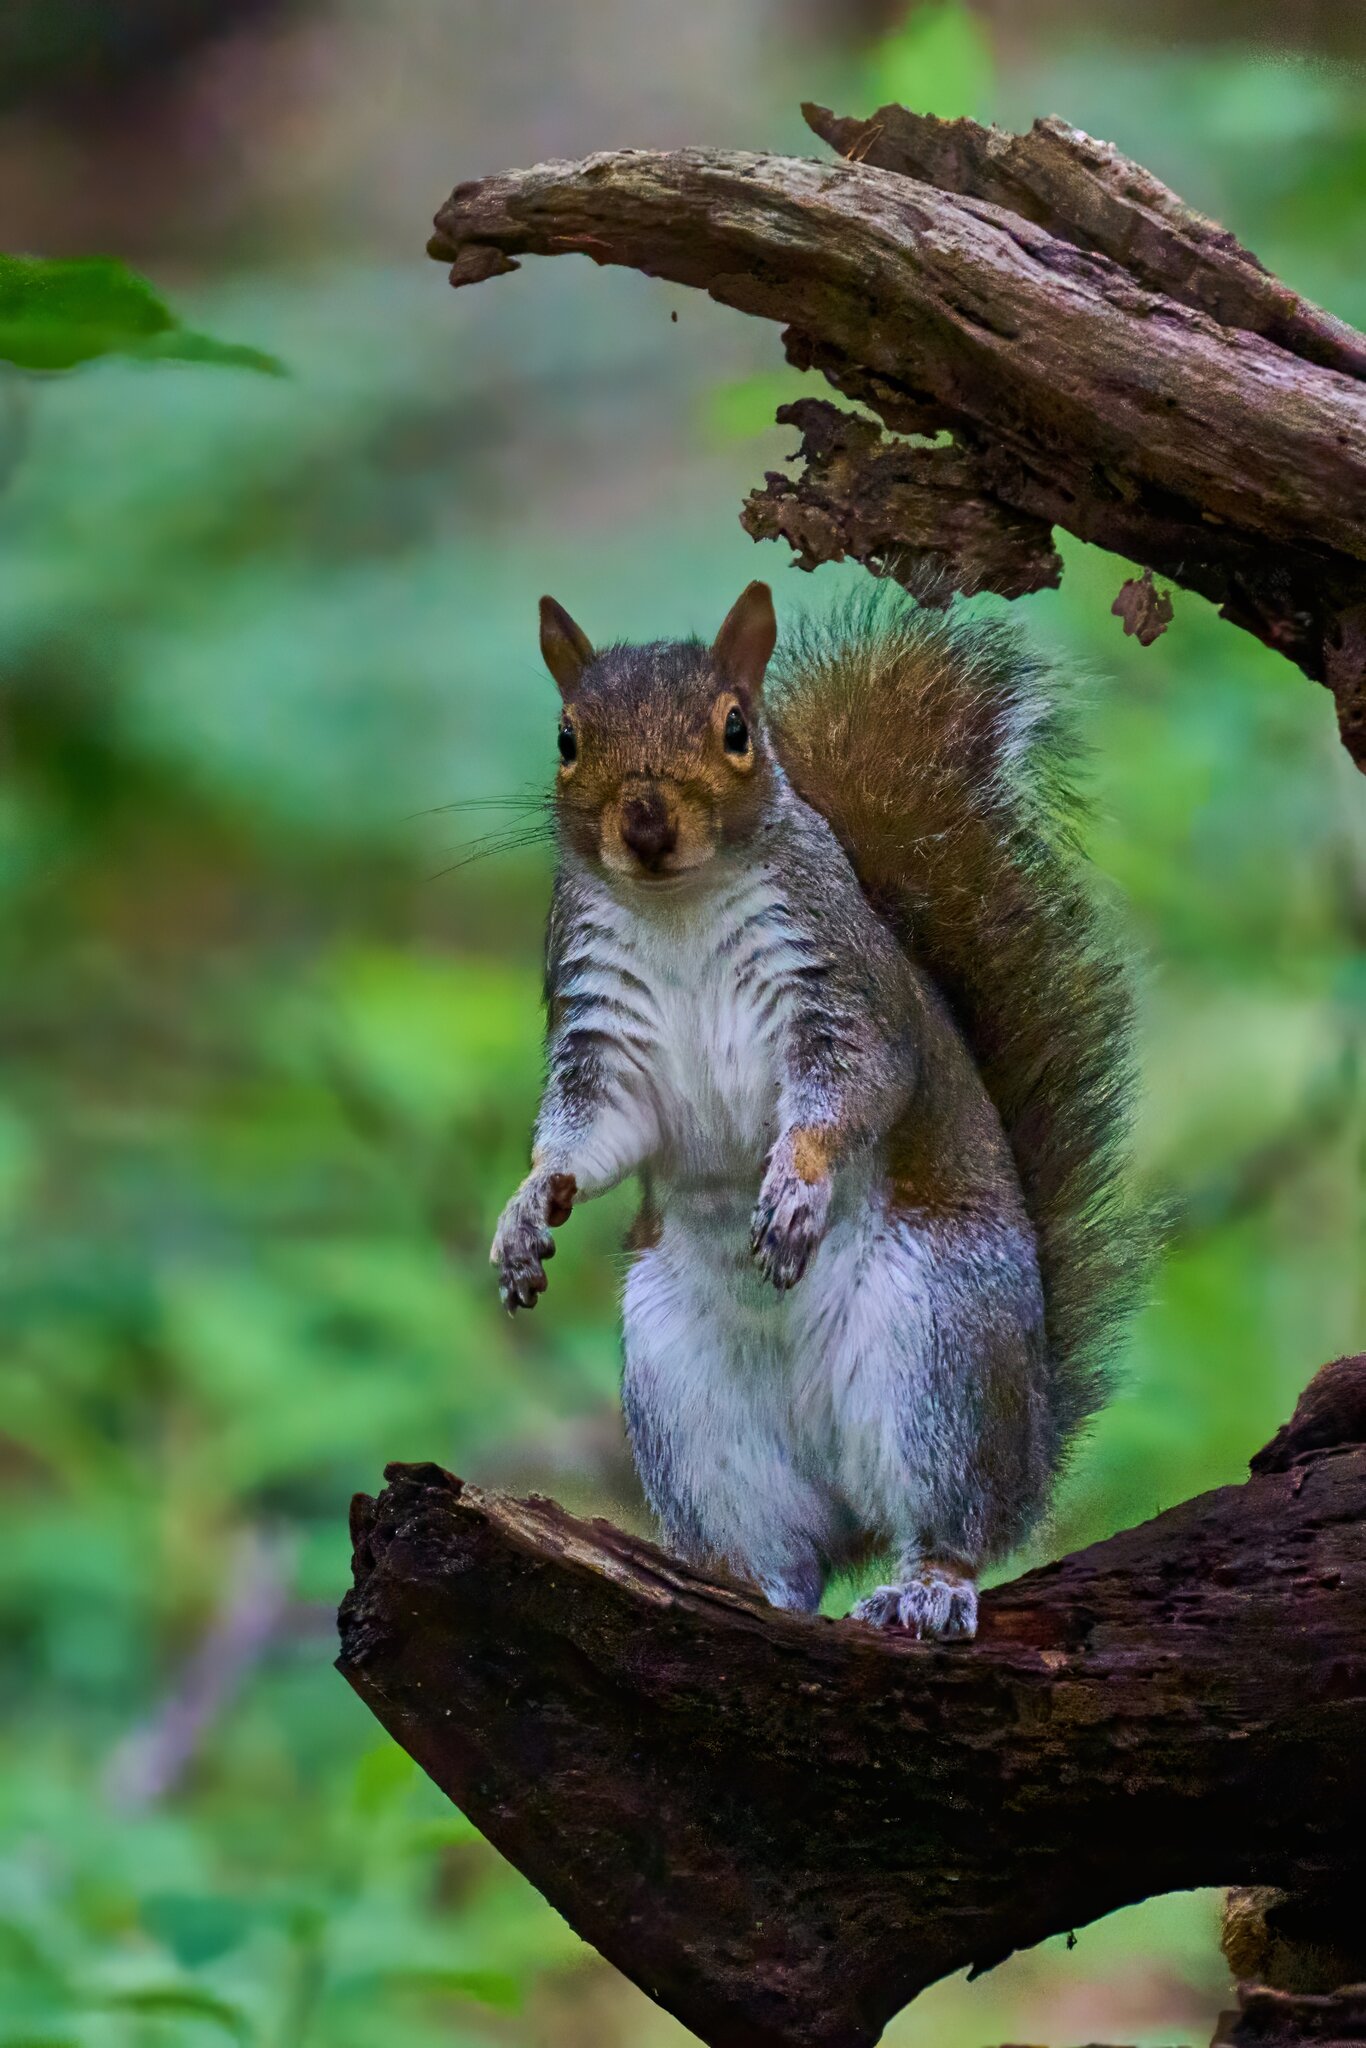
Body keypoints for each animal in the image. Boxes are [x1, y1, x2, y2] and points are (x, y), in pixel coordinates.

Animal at [485, 585, 1138, 1638]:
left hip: (939, 1356)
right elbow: (590, 1133)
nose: (647, 824)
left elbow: (852, 1090)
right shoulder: (600, 1039)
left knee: (952, 1520)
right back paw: (737, 1590)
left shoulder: (838, 993)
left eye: (736, 729)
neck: (677, 907)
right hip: (687, 1409)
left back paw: (929, 1584)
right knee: (784, 1553)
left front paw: (795, 1186)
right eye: (566, 739)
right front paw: (524, 1212)